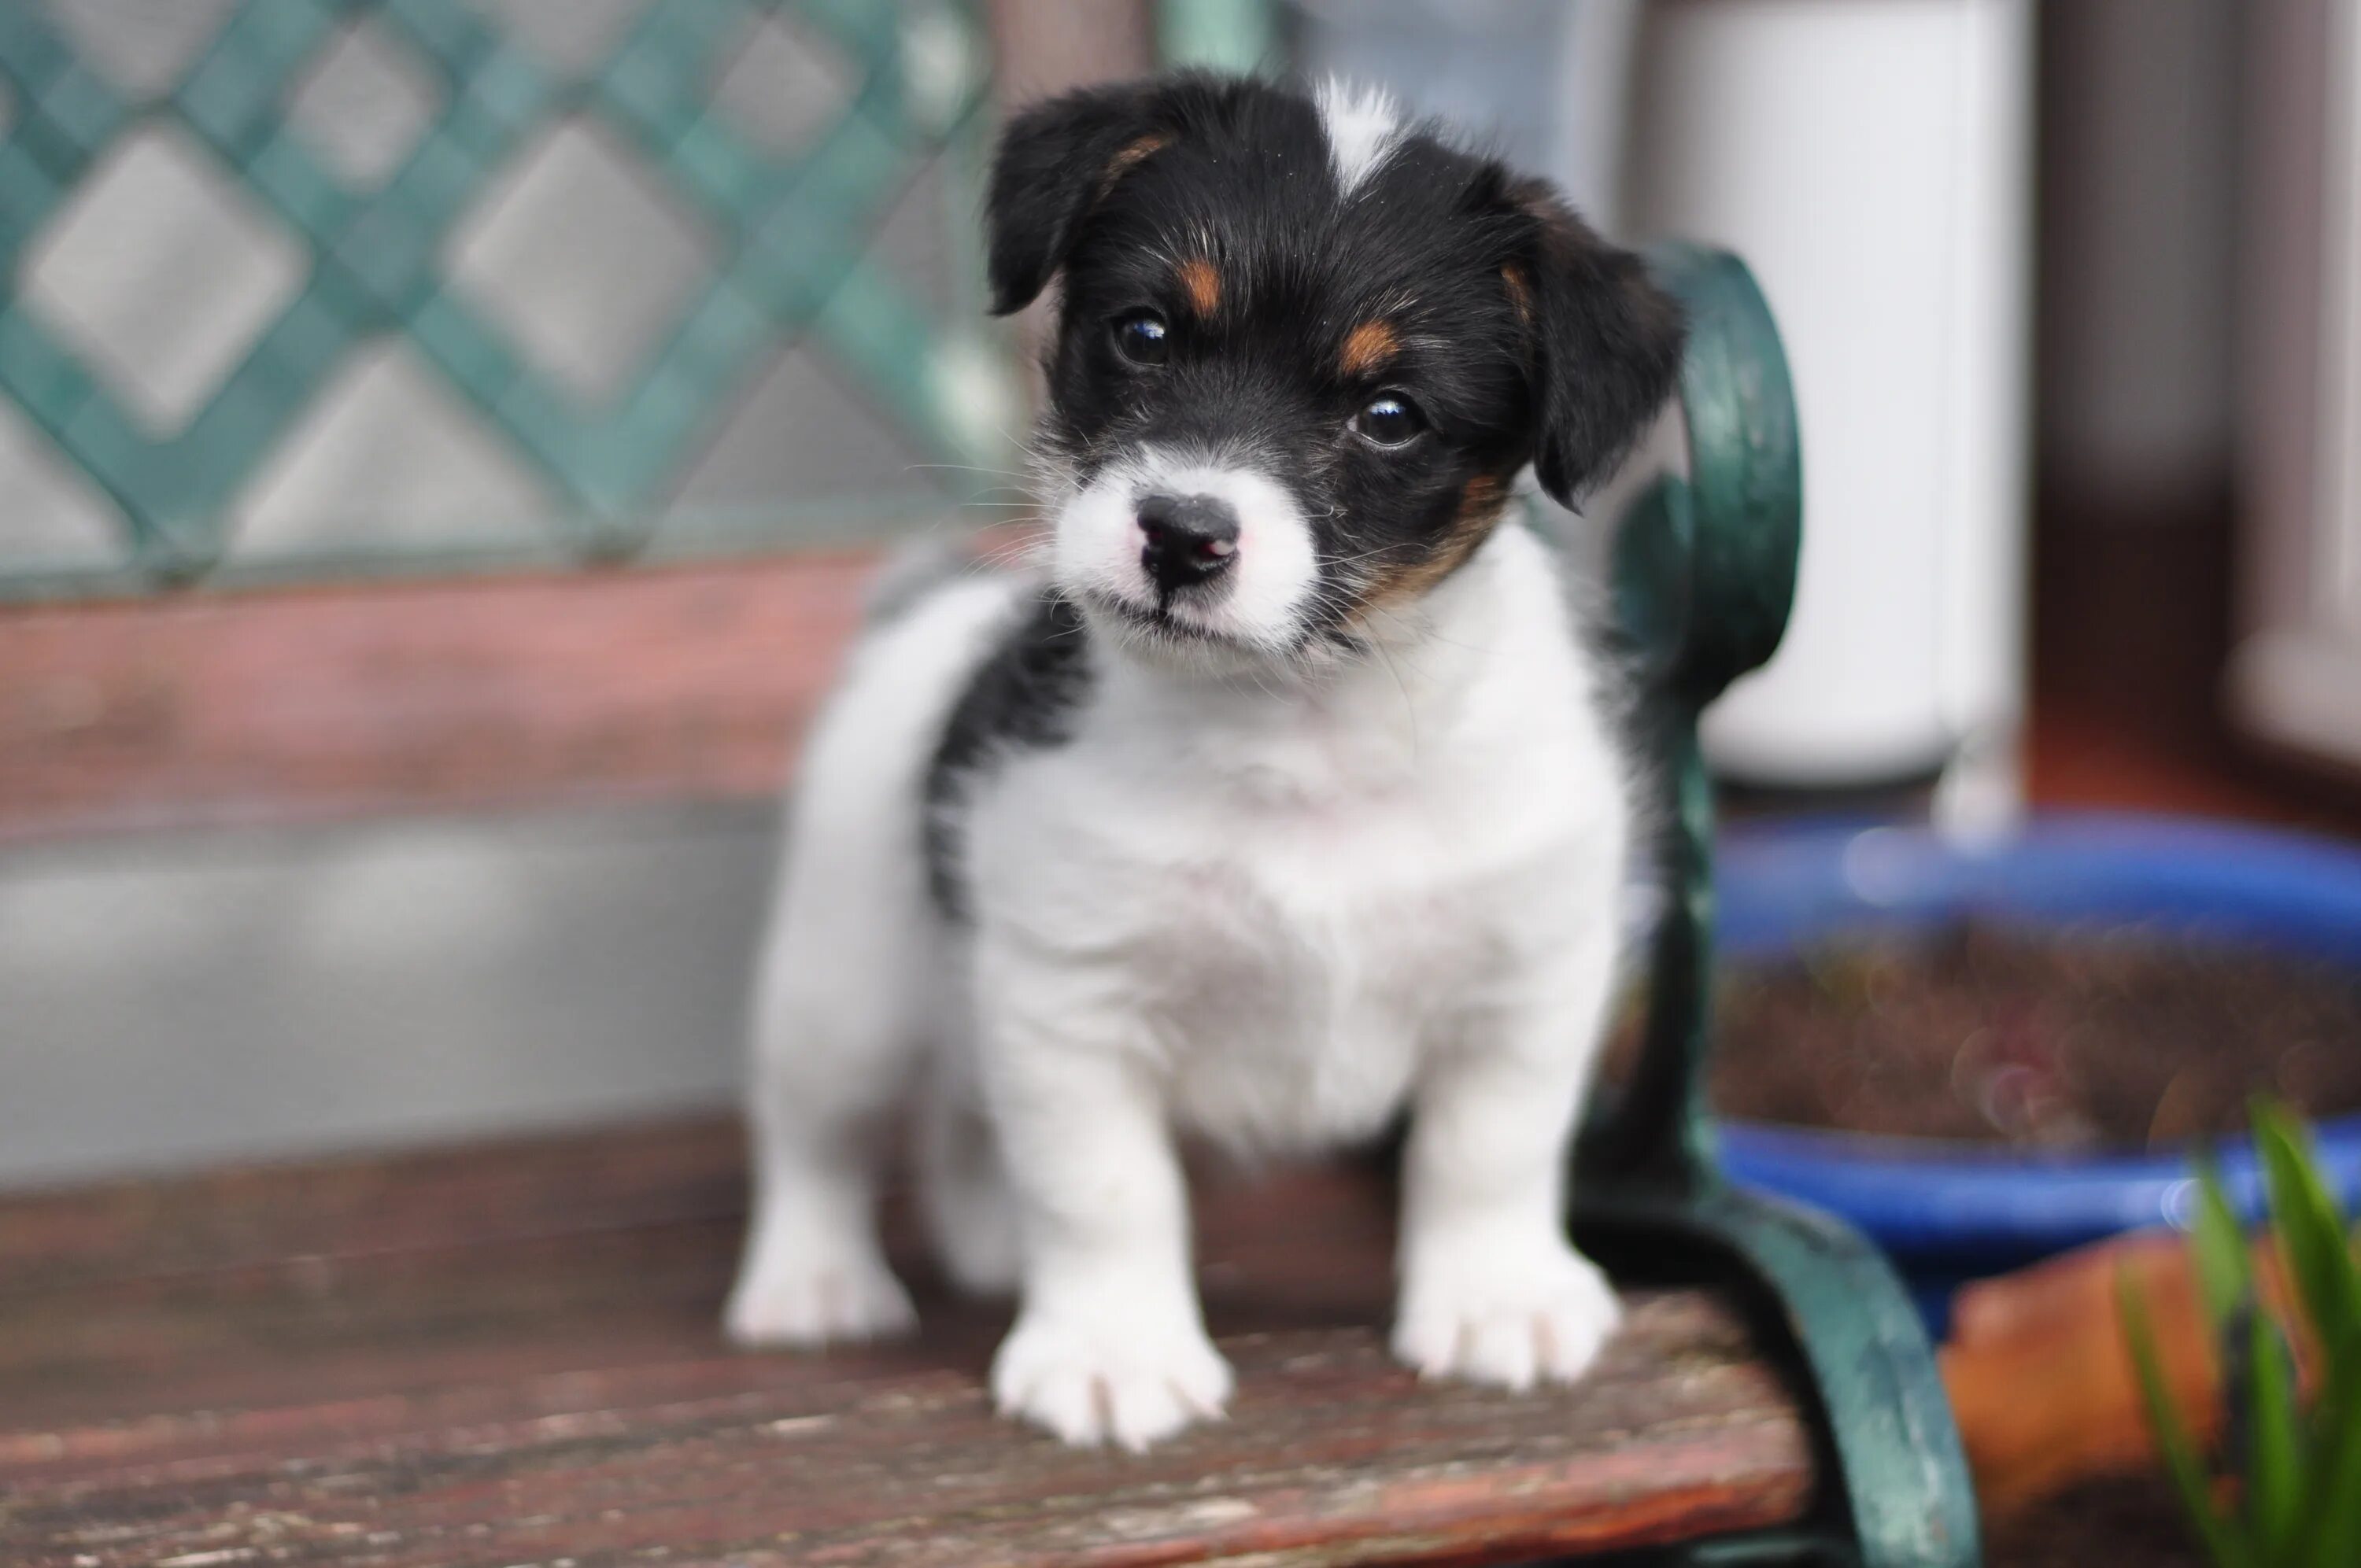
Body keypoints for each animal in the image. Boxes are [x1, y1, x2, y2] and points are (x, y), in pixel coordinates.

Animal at [718, 70, 1681, 1444]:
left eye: (1391, 415)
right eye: (1145, 333)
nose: (1181, 537)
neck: (1300, 730)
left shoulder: (1527, 981)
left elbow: (1491, 1151)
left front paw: (1497, 1297)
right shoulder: (1071, 999)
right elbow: (1106, 1191)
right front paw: (1113, 1349)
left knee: (959, 1123)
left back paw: (983, 1238)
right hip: (841, 984)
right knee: (818, 1136)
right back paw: (814, 1280)